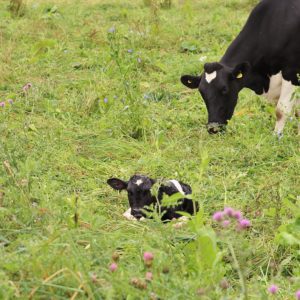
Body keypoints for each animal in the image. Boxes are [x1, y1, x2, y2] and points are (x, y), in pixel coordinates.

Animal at [180, 0, 300, 137]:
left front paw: (276, 137)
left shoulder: (291, 72)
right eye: (201, 92)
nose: (213, 128)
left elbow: (281, 110)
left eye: (225, 89)